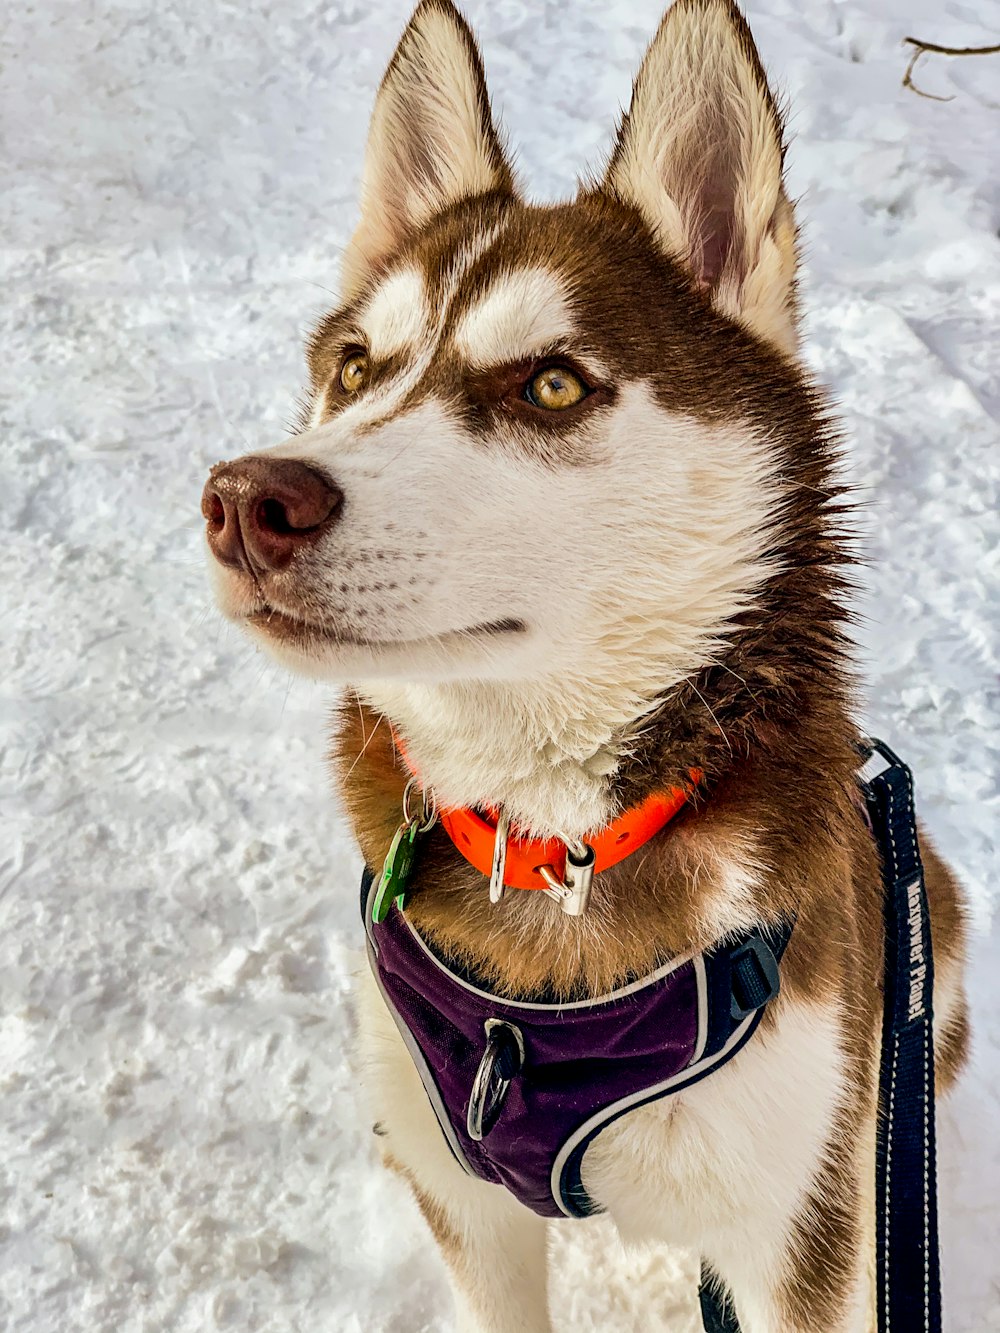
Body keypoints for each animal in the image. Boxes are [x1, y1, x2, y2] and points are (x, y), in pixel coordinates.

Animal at [201, 0, 970, 1327]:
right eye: (355, 367)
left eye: (552, 383)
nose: (246, 501)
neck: (552, 844)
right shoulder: (468, 1202)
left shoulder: (798, 1237)